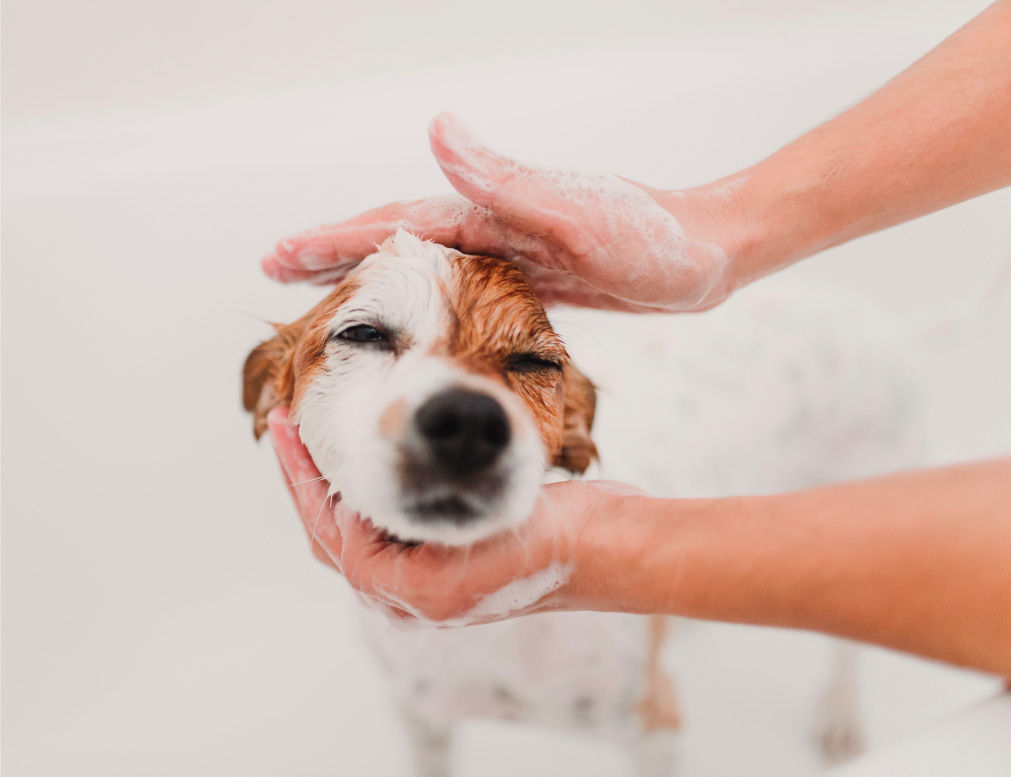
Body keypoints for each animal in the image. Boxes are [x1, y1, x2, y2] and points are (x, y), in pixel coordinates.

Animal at [240, 227, 922, 771]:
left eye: (533, 362)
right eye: (362, 333)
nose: (467, 421)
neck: (484, 640)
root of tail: (873, 317)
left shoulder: (654, 727)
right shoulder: (422, 717)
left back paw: (840, 715)